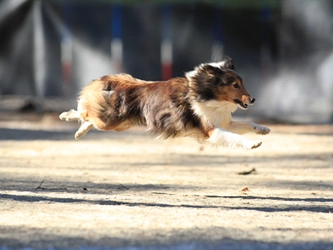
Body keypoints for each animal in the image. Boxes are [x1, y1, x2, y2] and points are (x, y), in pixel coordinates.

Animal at [58, 57, 268, 148]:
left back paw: (78, 133)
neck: (204, 93)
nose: (253, 99)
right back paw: (66, 116)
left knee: (88, 120)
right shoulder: (211, 130)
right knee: (84, 112)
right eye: (235, 85)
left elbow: (246, 123)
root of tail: (113, 82)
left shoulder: (221, 122)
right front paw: (253, 144)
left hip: (118, 125)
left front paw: (263, 129)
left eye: (243, 84)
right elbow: (235, 137)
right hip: (109, 121)